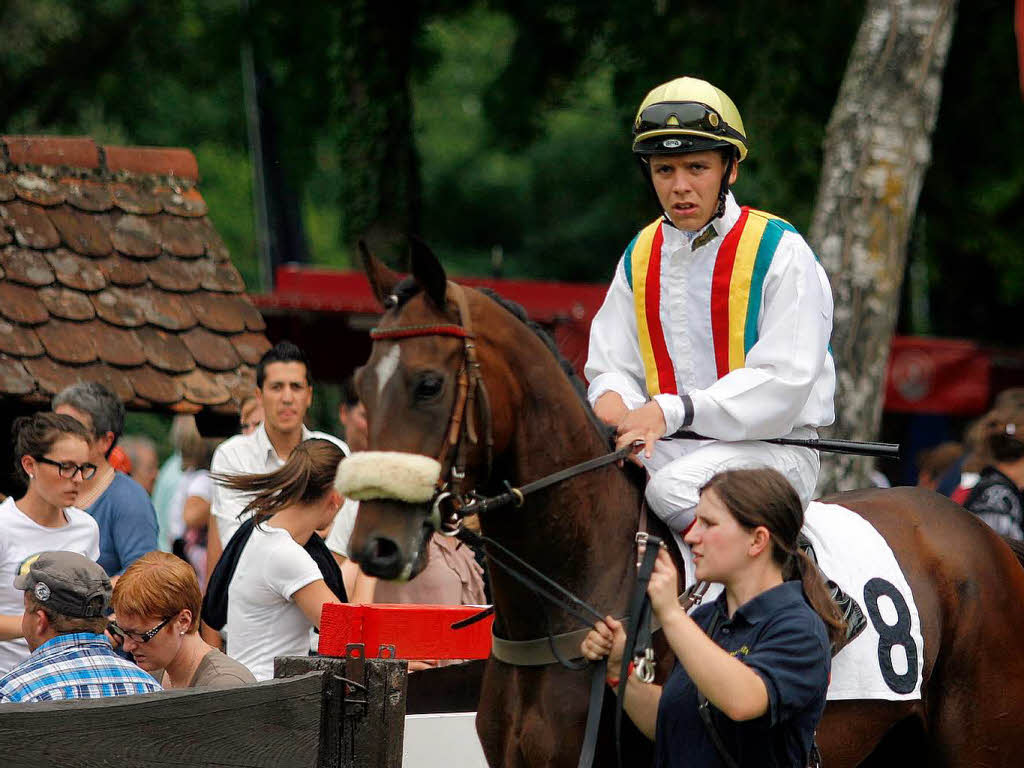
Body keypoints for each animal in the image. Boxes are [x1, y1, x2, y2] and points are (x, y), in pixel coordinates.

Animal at [346, 241, 1024, 768]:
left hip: (980, 742)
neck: (573, 590)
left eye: (429, 384)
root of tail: (992, 541)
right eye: (359, 384)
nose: (374, 546)